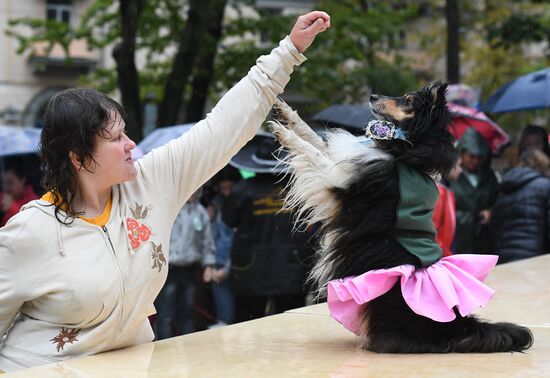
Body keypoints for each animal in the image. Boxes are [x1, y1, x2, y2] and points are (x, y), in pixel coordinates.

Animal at [272, 81, 536, 352]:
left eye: (408, 101)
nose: (372, 95)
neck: (407, 150)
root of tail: (462, 327)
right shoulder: (346, 164)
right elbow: (315, 139)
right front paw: (285, 113)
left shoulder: (337, 182)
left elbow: (314, 153)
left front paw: (284, 133)